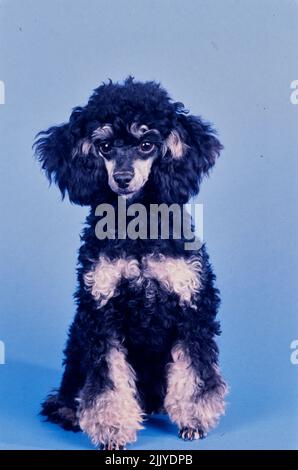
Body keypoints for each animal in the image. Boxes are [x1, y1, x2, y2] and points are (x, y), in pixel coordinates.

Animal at [34, 78, 226, 452]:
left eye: (147, 144)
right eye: (105, 146)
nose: (123, 178)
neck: (137, 228)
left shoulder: (192, 305)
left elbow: (194, 372)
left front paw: (195, 420)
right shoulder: (100, 313)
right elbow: (108, 381)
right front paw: (111, 429)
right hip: (77, 341)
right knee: (67, 393)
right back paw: (69, 412)